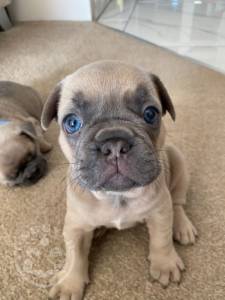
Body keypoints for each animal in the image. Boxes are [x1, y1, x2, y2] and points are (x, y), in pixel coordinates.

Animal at [41, 59, 197, 298]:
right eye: (72, 123)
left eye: (150, 114)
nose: (114, 144)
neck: (116, 196)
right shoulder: (75, 226)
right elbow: (75, 253)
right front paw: (69, 282)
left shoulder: (160, 211)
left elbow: (161, 239)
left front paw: (165, 265)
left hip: (177, 162)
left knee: (178, 203)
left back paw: (182, 226)